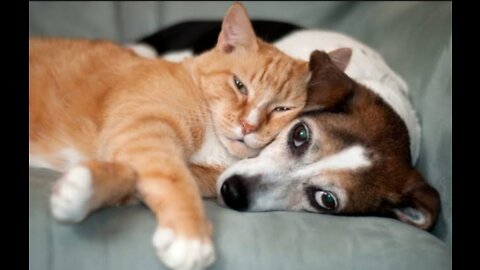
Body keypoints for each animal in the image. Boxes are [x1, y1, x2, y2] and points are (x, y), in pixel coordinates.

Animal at [29, 2, 344, 270]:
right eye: (239, 85)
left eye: (282, 109)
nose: (248, 126)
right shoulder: (144, 131)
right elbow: (173, 178)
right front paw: (189, 237)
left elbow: (133, 179)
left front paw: (81, 190)